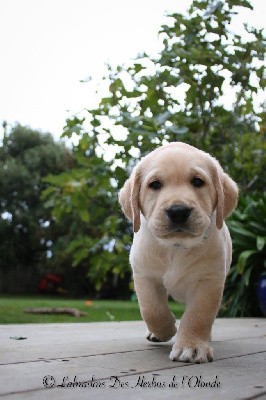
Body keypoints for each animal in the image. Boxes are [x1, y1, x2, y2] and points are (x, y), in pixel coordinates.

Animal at [119, 142, 238, 364]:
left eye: (198, 182)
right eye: (155, 185)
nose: (178, 211)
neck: (176, 247)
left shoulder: (209, 280)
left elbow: (198, 316)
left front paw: (192, 346)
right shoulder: (145, 275)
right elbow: (152, 310)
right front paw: (165, 330)